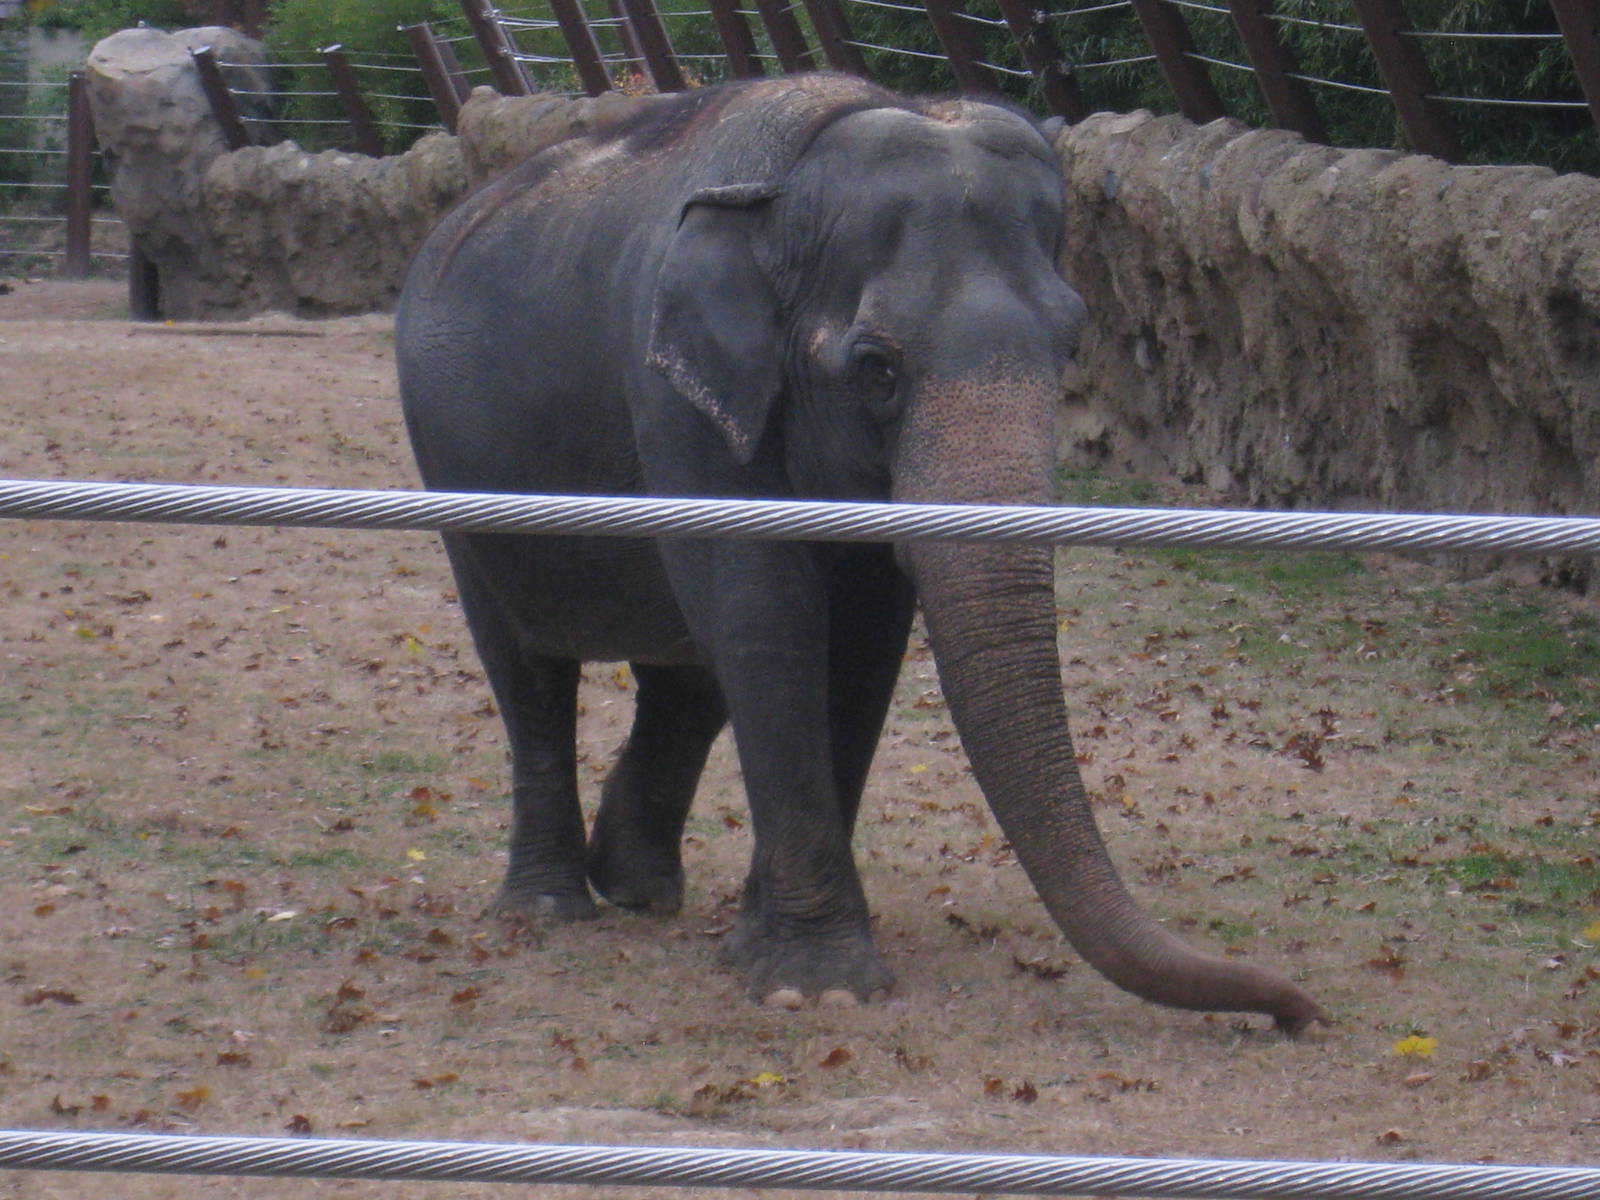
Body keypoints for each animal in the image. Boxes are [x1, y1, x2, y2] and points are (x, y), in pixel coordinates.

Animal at [394, 73, 1325, 1031]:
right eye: (876, 366)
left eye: (1070, 347)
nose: (1297, 1013)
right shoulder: (676, 400)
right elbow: (768, 617)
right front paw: (820, 985)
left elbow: (865, 639)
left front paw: (760, 950)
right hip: (453, 475)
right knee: (529, 668)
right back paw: (549, 908)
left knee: (683, 676)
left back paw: (639, 890)